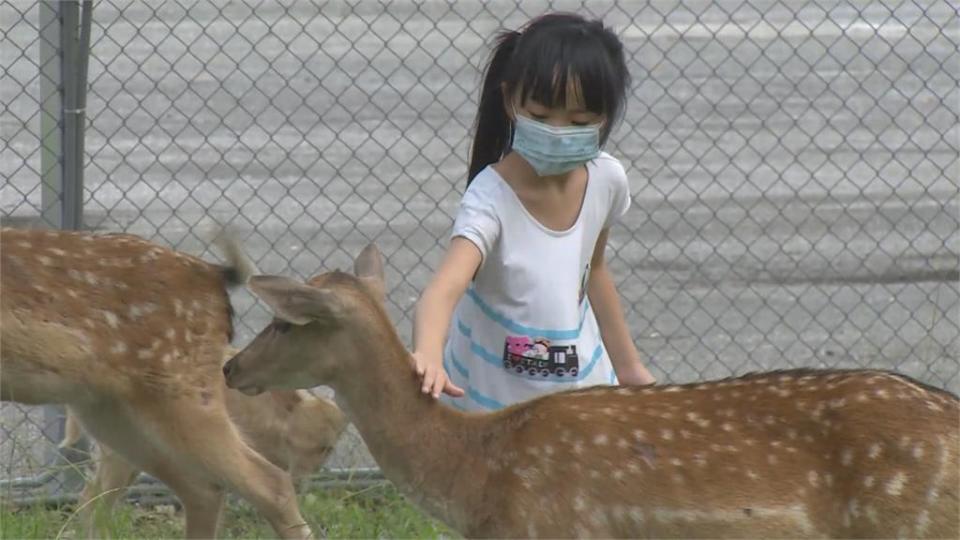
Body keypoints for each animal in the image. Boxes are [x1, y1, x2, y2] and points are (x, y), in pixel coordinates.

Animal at [59, 348, 348, 536]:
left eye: (328, 450)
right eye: (315, 447)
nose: (300, 485)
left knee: (90, 501)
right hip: (124, 459)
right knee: (92, 503)